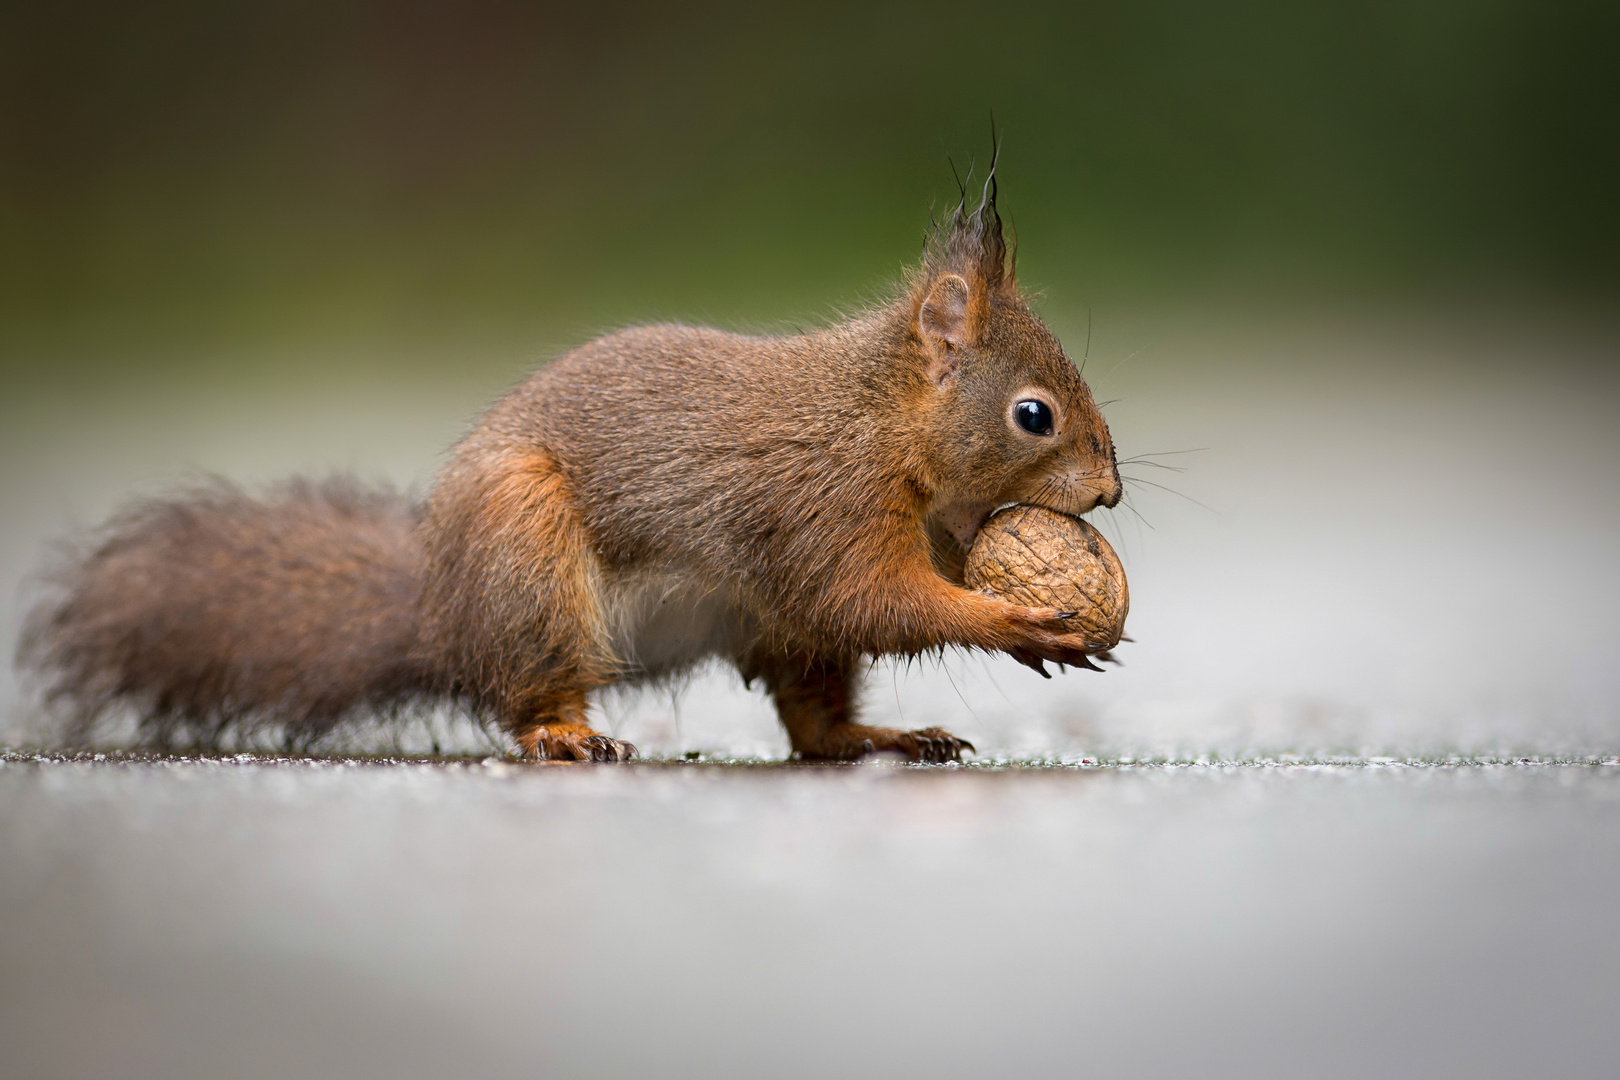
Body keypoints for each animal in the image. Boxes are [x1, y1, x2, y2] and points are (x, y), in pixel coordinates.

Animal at [19, 169, 1121, 761]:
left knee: (813, 724)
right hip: (530, 560)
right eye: (1034, 416)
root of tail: (444, 613)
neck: (886, 427)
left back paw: (879, 741)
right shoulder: (823, 505)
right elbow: (870, 598)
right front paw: (1015, 620)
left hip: (771, 634)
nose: (1110, 491)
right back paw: (564, 734)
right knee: (532, 695)